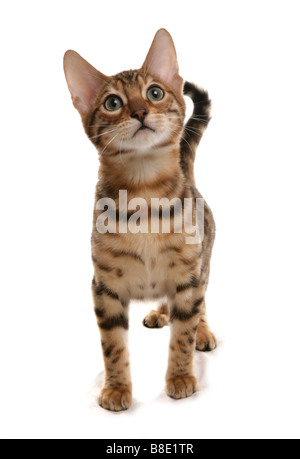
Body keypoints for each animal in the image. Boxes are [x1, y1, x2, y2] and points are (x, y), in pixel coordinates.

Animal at [64, 28, 217, 412]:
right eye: (112, 103)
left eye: (155, 93)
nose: (140, 111)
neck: (144, 193)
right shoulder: (105, 287)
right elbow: (113, 346)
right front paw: (116, 388)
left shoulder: (187, 274)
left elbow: (183, 333)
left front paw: (180, 377)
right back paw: (160, 312)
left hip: (203, 261)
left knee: (201, 301)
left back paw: (203, 331)